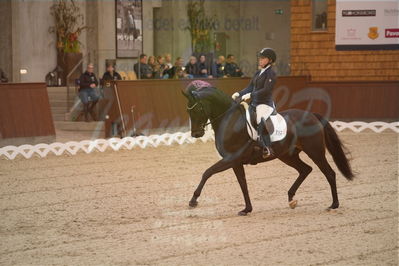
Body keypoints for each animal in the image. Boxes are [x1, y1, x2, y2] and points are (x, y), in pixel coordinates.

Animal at [183, 81, 354, 216]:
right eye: (188, 111)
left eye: (197, 109)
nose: (196, 134)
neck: (229, 120)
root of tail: (311, 115)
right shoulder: (235, 162)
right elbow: (243, 184)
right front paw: (247, 209)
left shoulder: (231, 158)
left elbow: (207, 172)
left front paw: (193, 200)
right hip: (288, 155)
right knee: (305, 169)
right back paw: (291, 199)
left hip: (315, 152)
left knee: (329, 173)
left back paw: (333, 205)